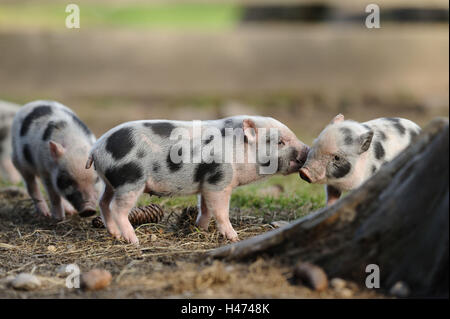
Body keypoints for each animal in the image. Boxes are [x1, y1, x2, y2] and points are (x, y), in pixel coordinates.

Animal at [85, 116, 310, 244]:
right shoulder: (219, 180)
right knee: (116, 208)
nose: (307, 150)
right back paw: (133, 240)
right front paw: (234, 237)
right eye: (279, 142)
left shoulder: (207, 184)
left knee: (103, 203)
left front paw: (200, 227)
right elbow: (220, 211)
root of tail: (96, 148)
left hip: (111, 183)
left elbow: (205, 208)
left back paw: (115, 234)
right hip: (130, 179)